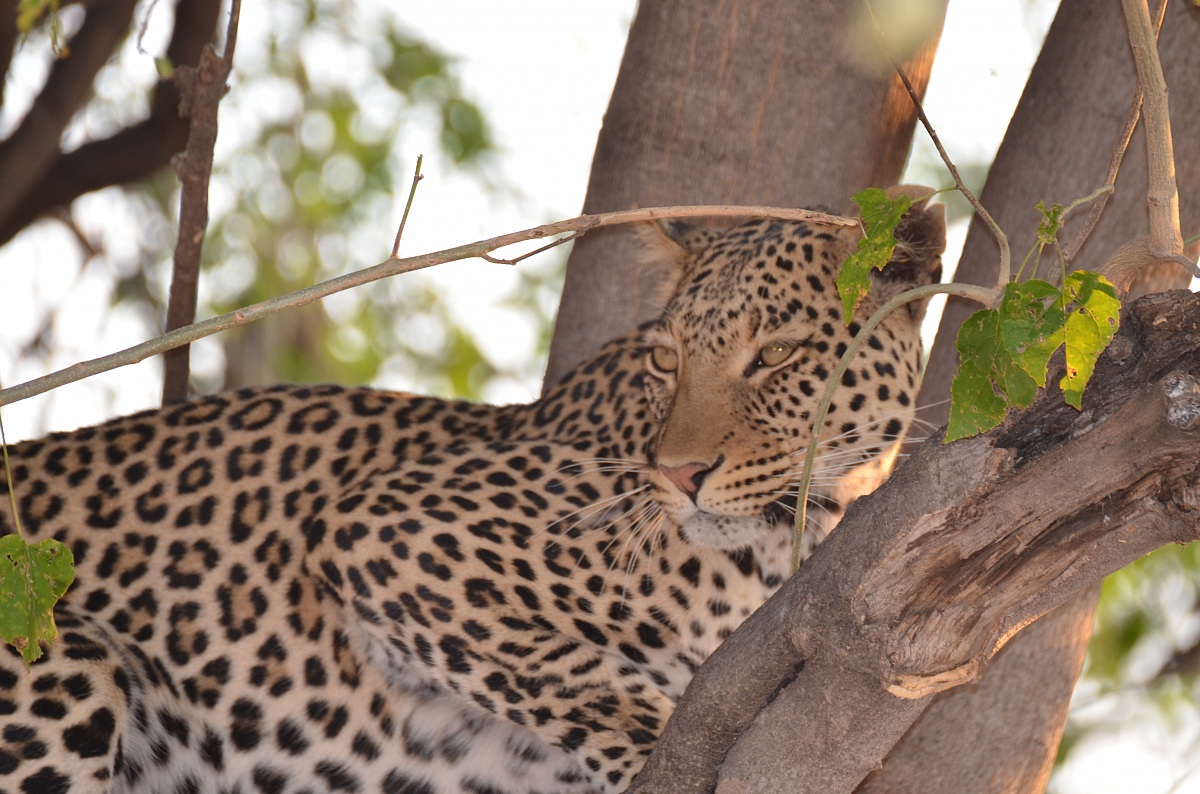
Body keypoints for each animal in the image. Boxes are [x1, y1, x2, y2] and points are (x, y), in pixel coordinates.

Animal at [0, 191, 945, 794]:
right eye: (665, 360)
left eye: (776, 355)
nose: (678, 476)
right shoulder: (390, 529)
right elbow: (574, 677)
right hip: (64, 659)